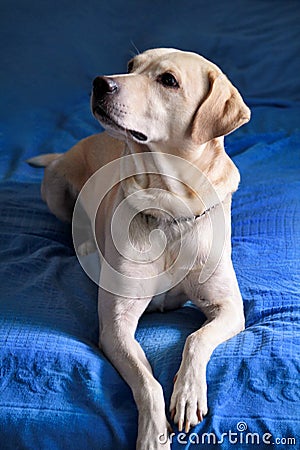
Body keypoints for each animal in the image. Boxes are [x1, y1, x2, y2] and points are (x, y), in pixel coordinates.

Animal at [28, 47, 250, 448]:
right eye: (131, 66)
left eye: (169, 80)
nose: (100, 83)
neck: (169, 210)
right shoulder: (115, 327)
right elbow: (147, 383)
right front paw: (152, 433)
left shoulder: (229, 308)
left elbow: (196, 339)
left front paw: (188, 393)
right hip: (54, 188)